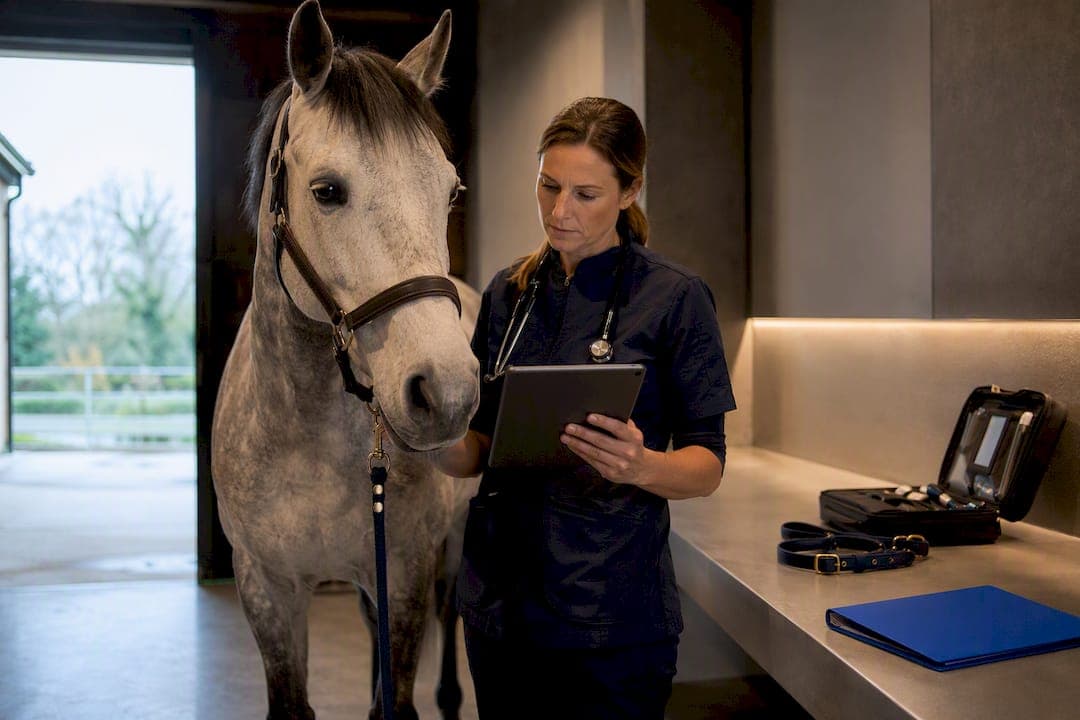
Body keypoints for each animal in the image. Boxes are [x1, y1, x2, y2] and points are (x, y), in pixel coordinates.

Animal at [211, 2, 480, 718]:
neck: (308, 434)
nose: (446, 392)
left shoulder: (406, 577)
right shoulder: (267, 590)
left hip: (452, 549)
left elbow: (395, 696)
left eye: (450, 192)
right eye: (327, 190)